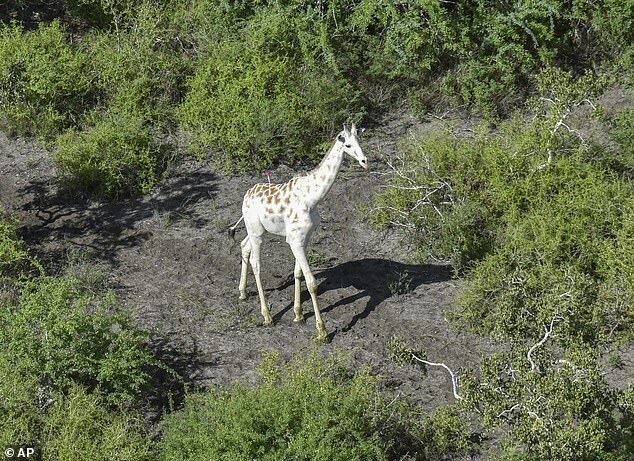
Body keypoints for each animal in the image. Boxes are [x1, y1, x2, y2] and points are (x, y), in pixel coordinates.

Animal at [227, 124, 366, 340]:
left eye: (360, 141)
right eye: (348, 145)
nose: (364, 161)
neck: (312, 198)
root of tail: (245, 196)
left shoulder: (304, 238)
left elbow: (297, 274)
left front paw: (298, 315)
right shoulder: (295, 240)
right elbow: (312, 283)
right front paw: (322, 331)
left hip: (257, 230)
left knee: (243, 246)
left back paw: (242, 292)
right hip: (256, 232)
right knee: (256, 264)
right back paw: (267, 316)